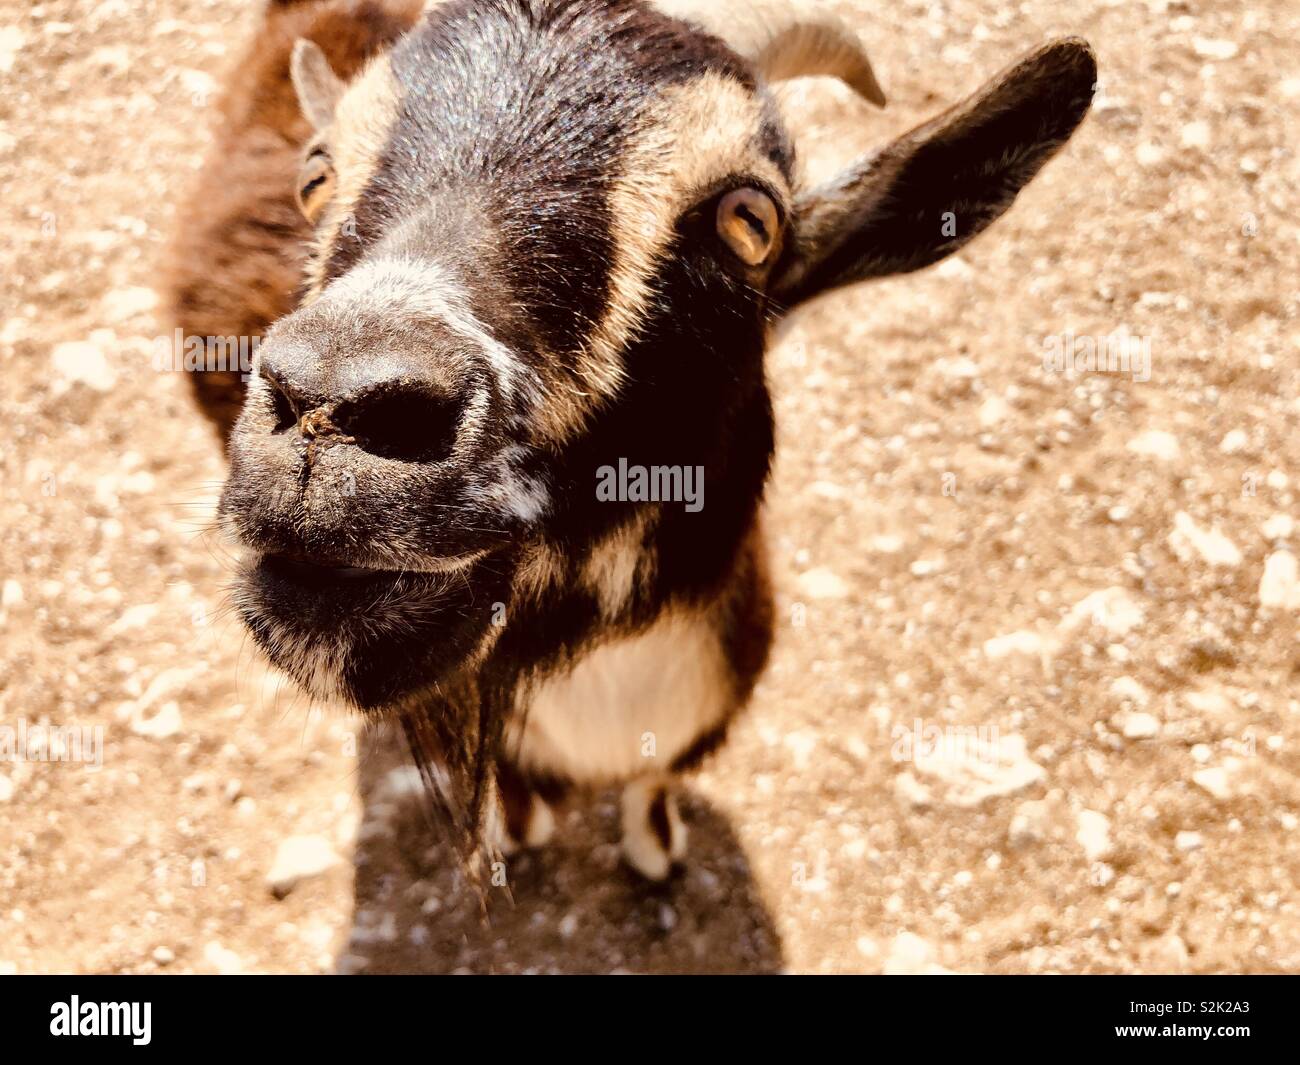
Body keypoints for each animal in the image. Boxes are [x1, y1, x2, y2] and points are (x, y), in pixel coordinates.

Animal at [168, 0, 1096, 880]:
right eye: (315, 178)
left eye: (751, 221)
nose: (332, 408)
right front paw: (521, 830)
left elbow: (655, 782)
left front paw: (655, 847)